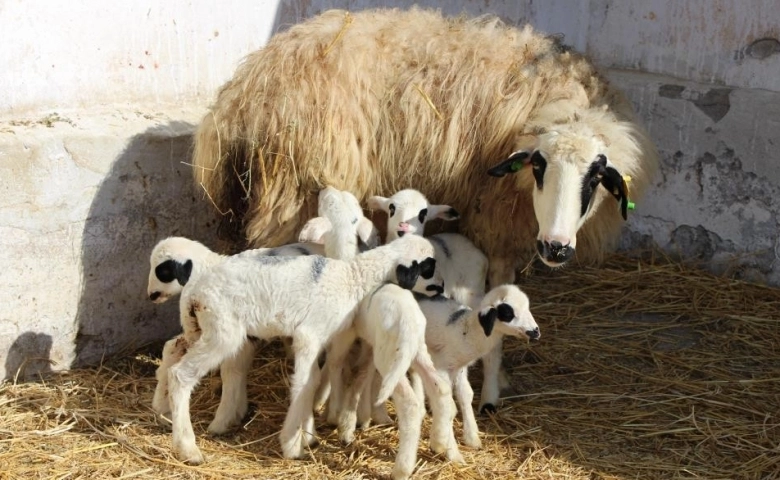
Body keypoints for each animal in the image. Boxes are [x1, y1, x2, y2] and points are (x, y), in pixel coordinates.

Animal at [165, 231, 442, 464]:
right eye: (428, 267)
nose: (441, 289)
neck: (353, 277)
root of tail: (193, 292)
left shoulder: (317, 339)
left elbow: (314, 380)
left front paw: (307, 436)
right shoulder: (309, 333)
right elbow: (304, 384)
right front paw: (292, 445)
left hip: (198, 328)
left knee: (174, 354)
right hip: (222, 330)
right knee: (180, 375)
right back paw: (189, 449)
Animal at [190, 6, 660, 292]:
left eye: (596, 177)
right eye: (538, 166)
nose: (556, 248)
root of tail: (245, 88)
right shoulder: (494, 214)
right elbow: (499, 275)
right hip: (294, 188)